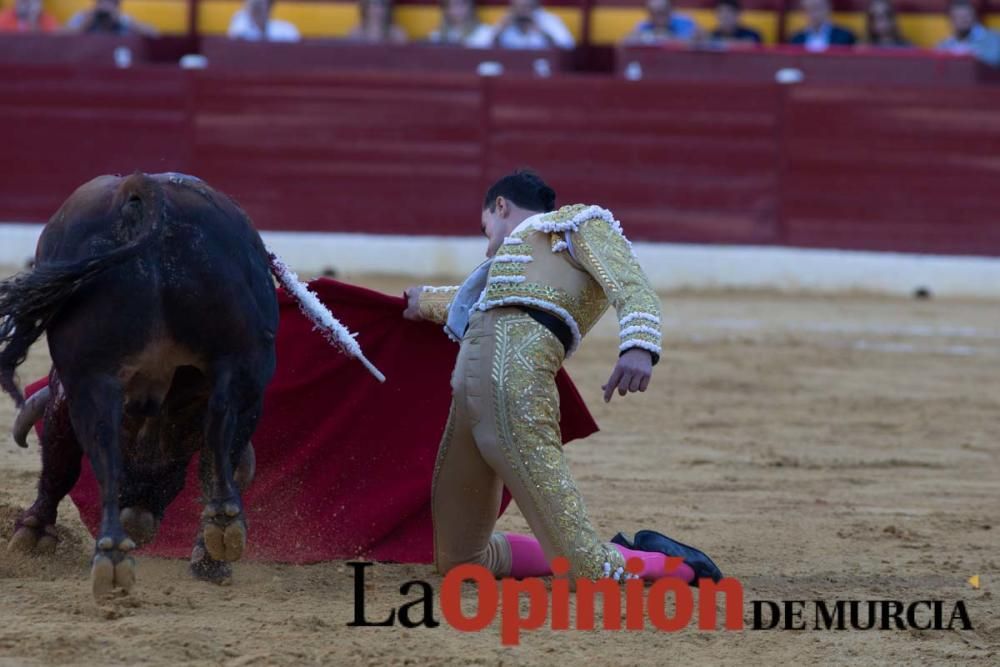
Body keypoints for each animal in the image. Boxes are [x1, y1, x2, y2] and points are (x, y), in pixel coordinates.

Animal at [0, 171, 282, 596]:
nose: (140, 519)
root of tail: (147, 189)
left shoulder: (67, 389)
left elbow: (62, 457)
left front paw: (32, 534)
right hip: (237, 361)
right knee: (220, 427)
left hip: (94, 374)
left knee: (109, 450)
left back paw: (120, 548)